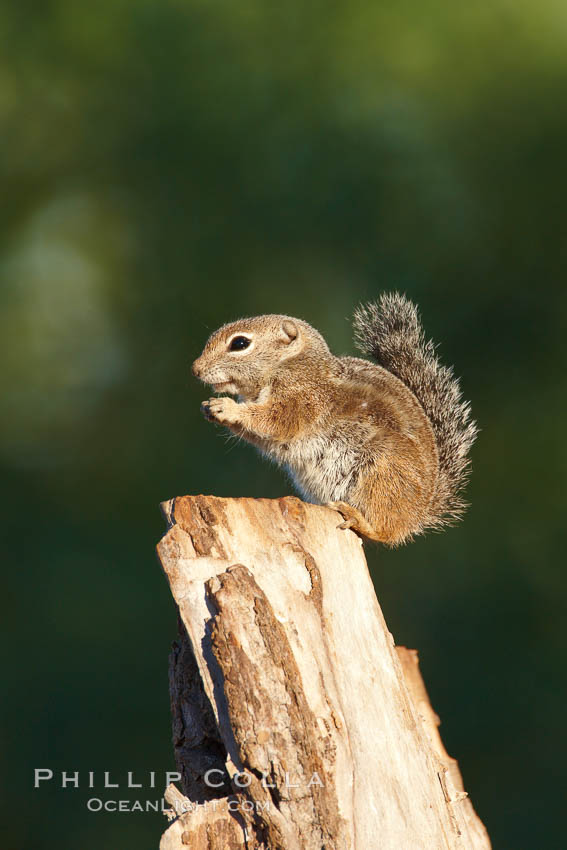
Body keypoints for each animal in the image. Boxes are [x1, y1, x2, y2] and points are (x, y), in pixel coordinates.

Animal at [193, 292, 478, 544]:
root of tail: (420, 513)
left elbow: (275, 421)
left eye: (240, 344)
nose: (195, 369)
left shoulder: (304, 398)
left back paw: (359, 519)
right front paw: (212, 409)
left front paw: (228, 408)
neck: (291, 363)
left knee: (386, 532)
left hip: (383, 473)